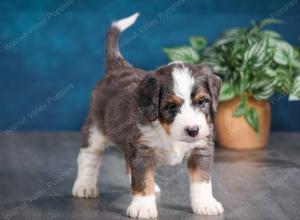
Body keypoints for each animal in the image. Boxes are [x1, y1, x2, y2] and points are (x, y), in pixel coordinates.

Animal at [72, 13, 223, 218]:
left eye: (202, 102)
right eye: (171, 106)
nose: (193, 130)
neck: (167, 132)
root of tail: (118, 67)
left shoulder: (201, 147)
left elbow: (202, 179)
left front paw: (205, 203)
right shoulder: (142, 149)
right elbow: (143, 179)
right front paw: (143, 206)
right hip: (96, 128)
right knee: (88, 156)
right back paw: (84, 186)